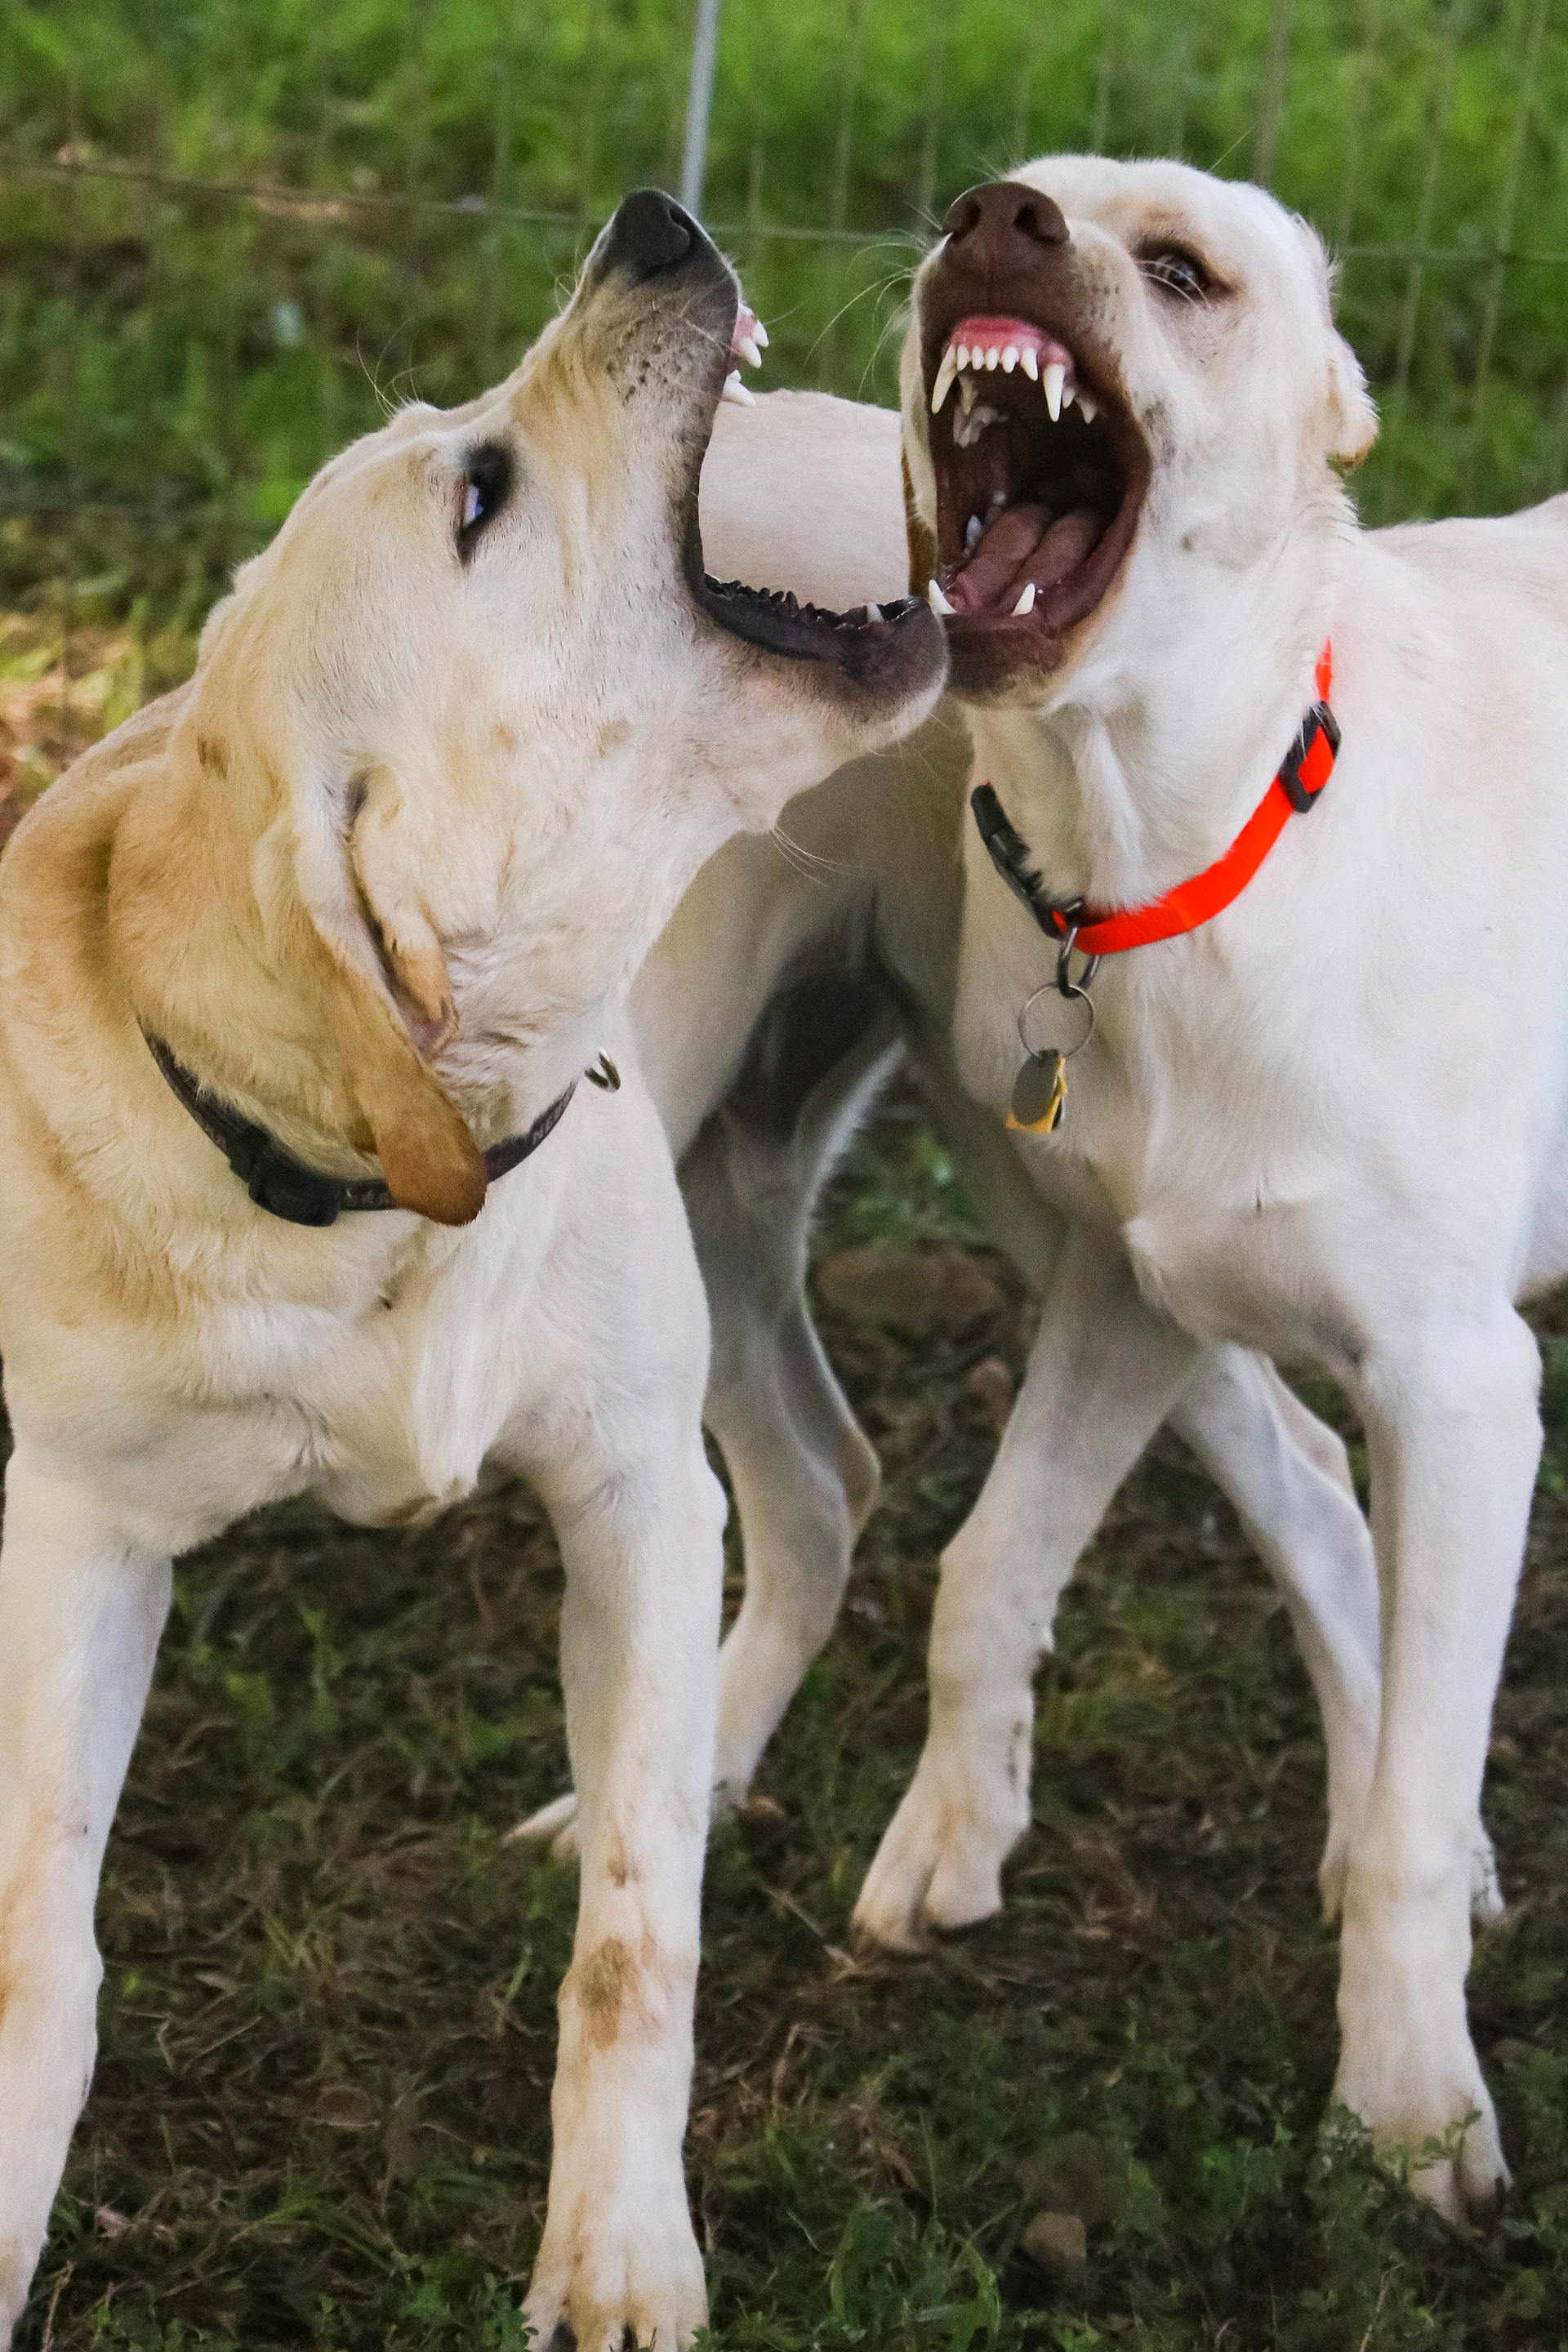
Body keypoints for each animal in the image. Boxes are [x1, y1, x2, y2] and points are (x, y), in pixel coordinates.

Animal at [0, 192, 945, 2351]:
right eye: (482, 494)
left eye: (457, 442)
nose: (653, 224)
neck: (367, 1192)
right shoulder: (74, 1541)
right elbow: (38, 1950)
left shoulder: (630, 1489)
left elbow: (634, 1948)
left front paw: (617, 2251)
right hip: (736, 1213)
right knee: (820, 1484)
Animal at [872, 153, 1565, 2218]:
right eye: (999, 199)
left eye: (1183, 271)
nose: (989, 218)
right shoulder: (1124, 1291)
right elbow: (986, 1567)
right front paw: (955, 1828)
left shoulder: (1465, 1385)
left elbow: (1421, 1804)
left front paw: (1409, 2107)